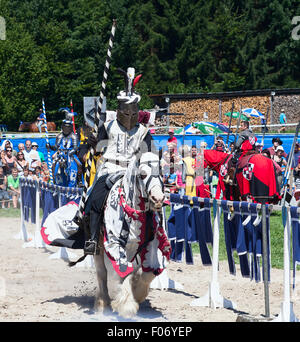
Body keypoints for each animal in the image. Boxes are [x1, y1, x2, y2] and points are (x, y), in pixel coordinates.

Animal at [93, 152, 171, 318]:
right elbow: (120, 274)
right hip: (98, 250)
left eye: (161, 172)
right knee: (101, 274)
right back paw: (102, 304)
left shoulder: (153, 246)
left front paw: (138, 292)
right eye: (142, 174)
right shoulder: (114, 247)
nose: (158, 198)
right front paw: (126, 305)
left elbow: (147, 273)